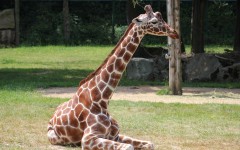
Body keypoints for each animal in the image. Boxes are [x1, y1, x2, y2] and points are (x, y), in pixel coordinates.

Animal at [47, 4, 178, 150]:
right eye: (154, 21)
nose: (174, 32)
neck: (101, 100)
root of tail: (52, 116)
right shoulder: (88, 139)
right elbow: (129, 147)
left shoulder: (115, 135)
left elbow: (150, 144)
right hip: (54, 137)